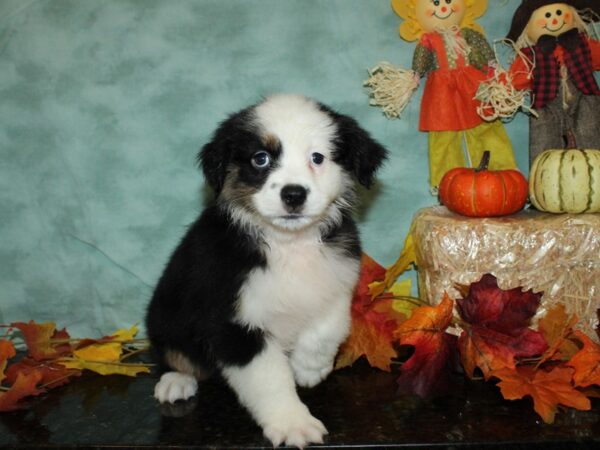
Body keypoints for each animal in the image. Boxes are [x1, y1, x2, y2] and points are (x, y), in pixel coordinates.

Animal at [148, 93, 386, 448]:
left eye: (317, 157)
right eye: (260, 159)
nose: (293, 194)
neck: (288, 244)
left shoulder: (339, 273)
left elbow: (331, 325)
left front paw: (309, 368)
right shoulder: (232, 322)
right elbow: (268, 379)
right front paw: (293, 424)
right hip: (164, 316)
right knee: (172, 354)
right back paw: (175, 381)